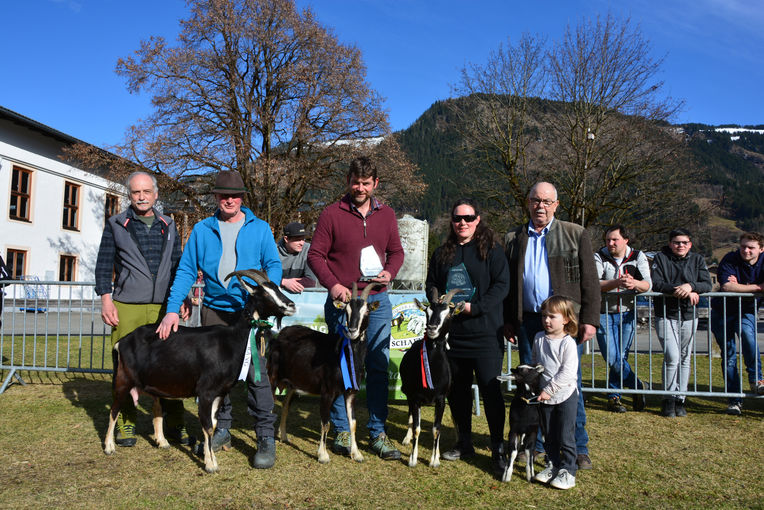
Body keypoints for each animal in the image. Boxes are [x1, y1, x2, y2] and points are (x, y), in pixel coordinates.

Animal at [106, 268, 296, 472]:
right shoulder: (205, 392)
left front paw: (209, 457)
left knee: (156, 407)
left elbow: (214, 424)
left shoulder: (220, 393)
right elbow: (207, 426)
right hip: (123, 380)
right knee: (114, 409)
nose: (291, 305)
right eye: (264, 293)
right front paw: (211, 465)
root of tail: (122, 342)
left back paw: (162, 442)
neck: (232, 341)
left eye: (277, 288)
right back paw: (109, 447)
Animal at [268, 282, 380, 462]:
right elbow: (325, 423)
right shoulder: (327, 391)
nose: (352, 330)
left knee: (285, 405)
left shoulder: (351, 392)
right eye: (346, 311)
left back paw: (284, 436)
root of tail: (280, 335)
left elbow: (353, 423)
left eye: (367, 311)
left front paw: (356, 454)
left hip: (293, 383)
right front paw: (323, 455)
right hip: (272, 376)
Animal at [400, 288, 466, 468]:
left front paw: (434, 460)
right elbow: (416, 427)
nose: (432, 328)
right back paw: (406, 439)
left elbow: (437, 429)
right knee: (411, 417)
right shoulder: (415, 398)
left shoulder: (441, 399)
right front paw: (412, 459)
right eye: (427, 311)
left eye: (449, 314)